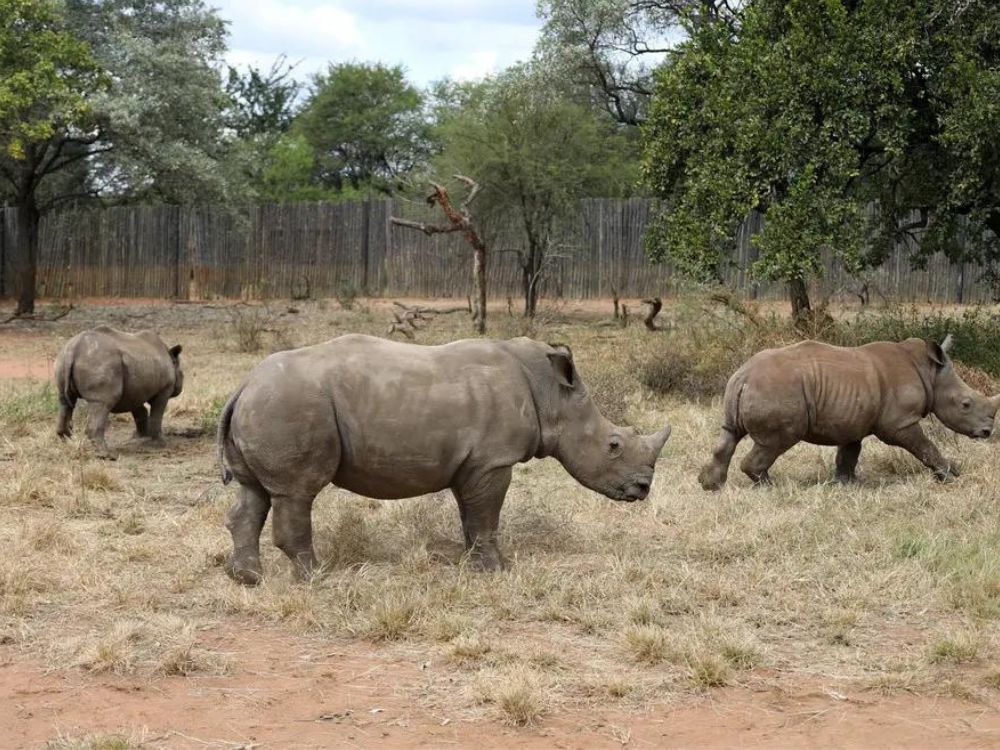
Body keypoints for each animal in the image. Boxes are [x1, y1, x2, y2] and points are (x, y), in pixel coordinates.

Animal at [55, 328, 186, 462]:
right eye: (182, 375)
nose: (180, 388)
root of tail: (73, 350)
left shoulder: (135, 389)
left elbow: (140, 412)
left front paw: (141, 437)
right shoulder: (164, 389)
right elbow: (157, 414)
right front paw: (161, 443)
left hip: (63, 359)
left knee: (65, 402)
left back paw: (68, 443)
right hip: (99, 362)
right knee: (102, 403)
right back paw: (107, 455)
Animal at [219, 334, 672, 588]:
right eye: (614, 445)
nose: (642, 489)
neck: (551, 395)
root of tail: (243, 385)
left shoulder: (472, 464)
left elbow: (472, 517)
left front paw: (475, 565)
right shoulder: (493, 460)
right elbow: (487, 516)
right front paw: (499, 570)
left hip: (268, 405)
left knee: (255, 493)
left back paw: (248, 579)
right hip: (290, 404)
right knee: (296, 493)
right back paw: (317, 578)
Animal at [700, 336, 996, 494]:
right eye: (966, 404)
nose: (987, 432)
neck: (930, 373)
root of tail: (744, 376)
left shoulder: (853, 420)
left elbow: (849, 453)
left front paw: (846, 483)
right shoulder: (900, 423)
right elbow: (925, 446)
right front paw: (951, 475)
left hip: (743, 388)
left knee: (729, 434)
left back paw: (710, 485)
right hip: (777, 390)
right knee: (775, 442)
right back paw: (771, 487)